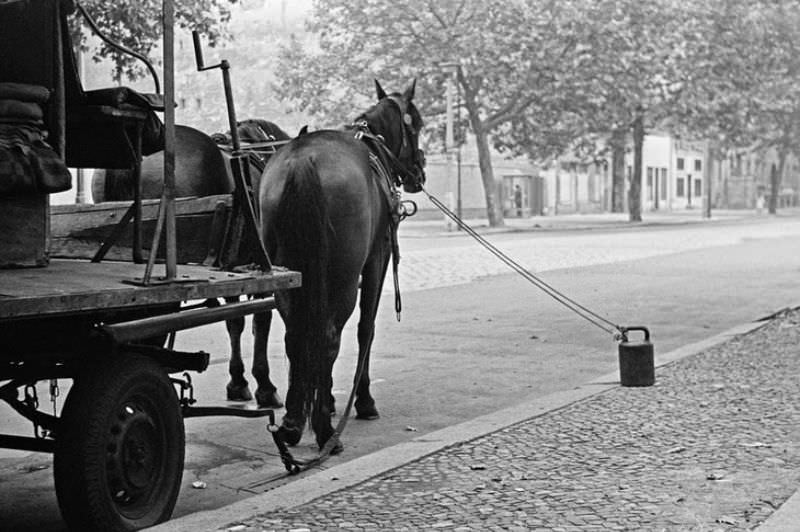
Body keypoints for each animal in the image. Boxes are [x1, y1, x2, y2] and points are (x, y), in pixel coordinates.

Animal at [260, 79, 428, 450]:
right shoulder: (377, 262)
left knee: (296, 335)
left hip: (289, 276)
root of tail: (303, 160)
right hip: (343, 278)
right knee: (328, 335)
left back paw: (294, 421)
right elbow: (367, 329)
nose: (419, 172)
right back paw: (324, 429)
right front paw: (363, 400)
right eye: (419, 125)